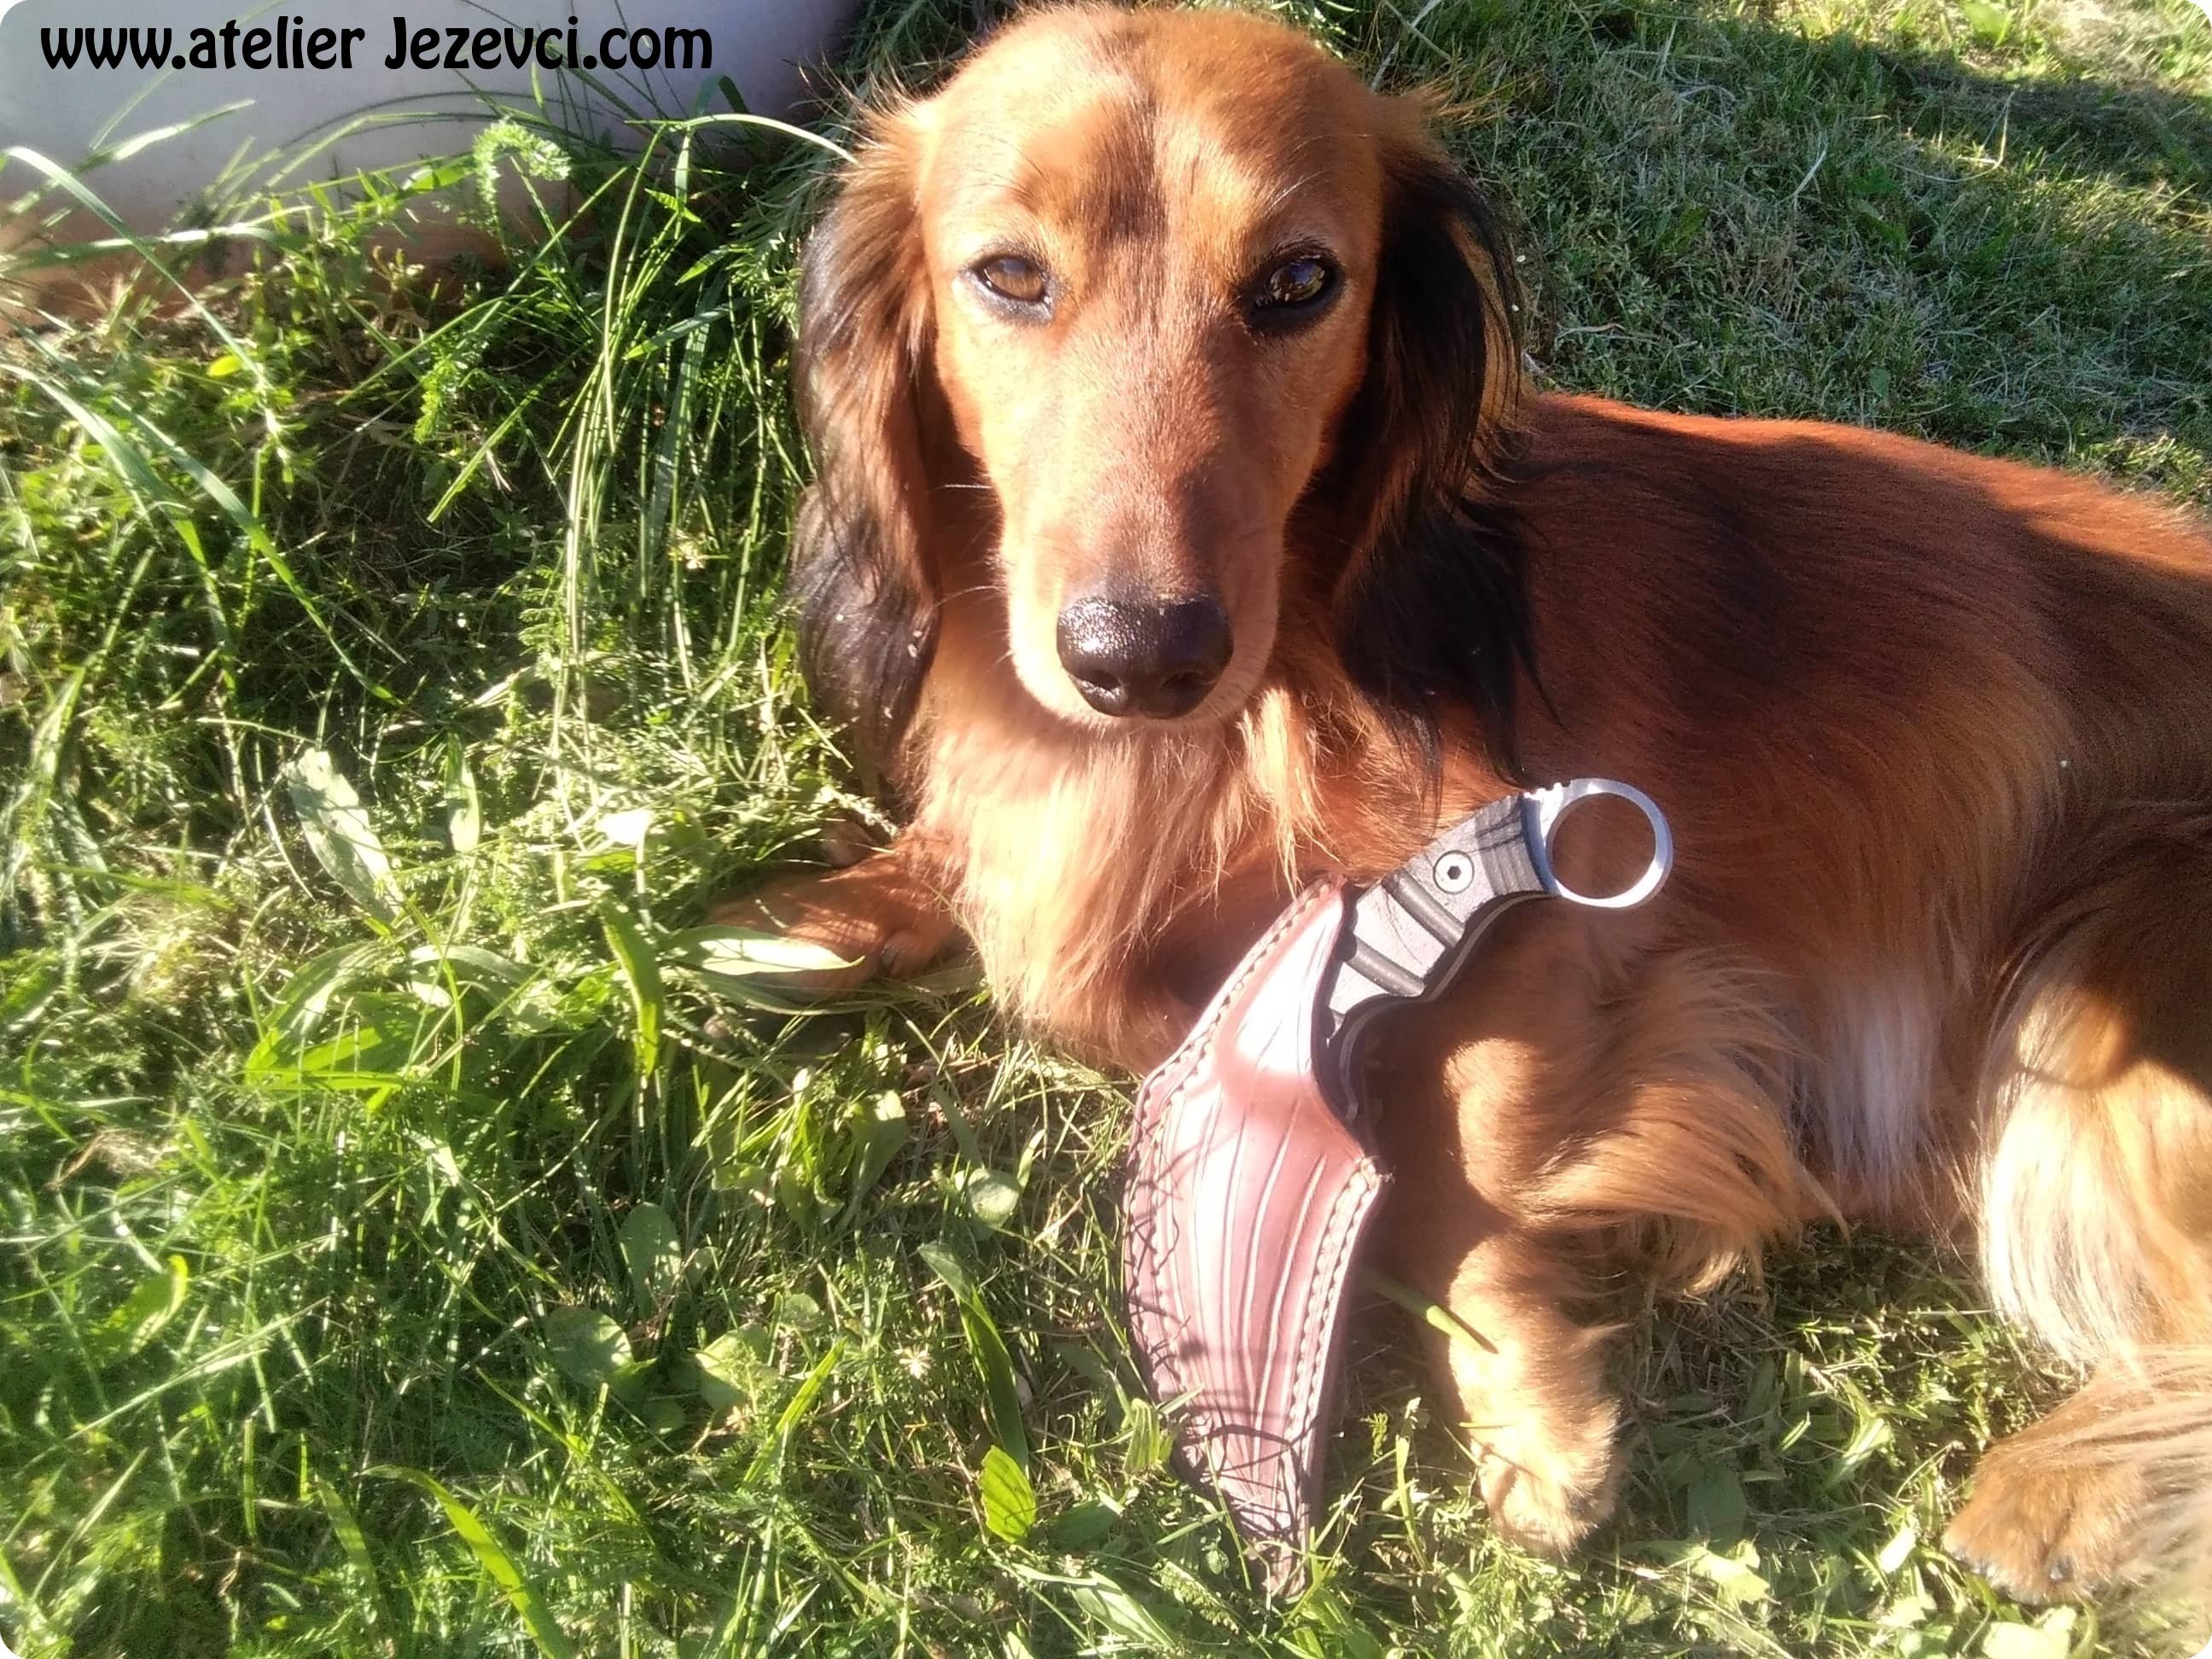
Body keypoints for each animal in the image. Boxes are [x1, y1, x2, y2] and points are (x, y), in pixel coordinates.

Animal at [721, 3, 2212, 1603]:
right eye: (1008, 275)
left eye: (1298, 283)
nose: (1140, 657)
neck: (1274, 690)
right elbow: (1003, 922)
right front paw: (789, 912)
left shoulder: (1566, 916)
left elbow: (1457, 1166)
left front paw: (1528, 1409)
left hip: (2123, 943)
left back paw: (2057, 1491)